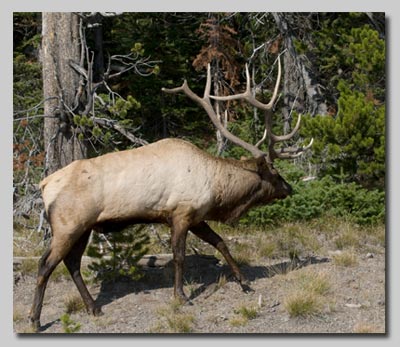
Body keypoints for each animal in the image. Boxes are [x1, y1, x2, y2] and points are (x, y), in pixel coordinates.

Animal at [30, 55, 312, 330]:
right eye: (275, 173)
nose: (289, 188)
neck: (217, 191)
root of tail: (44, 185)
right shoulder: (181, 214)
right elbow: (179, 256)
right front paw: (182, 296)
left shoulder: (197, 217)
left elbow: (220, 242)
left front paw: (244, 282)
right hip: (69, 224)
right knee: (45, 264)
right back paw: (35, 319)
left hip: (84, 228)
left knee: (72, 263)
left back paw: (94, 308)